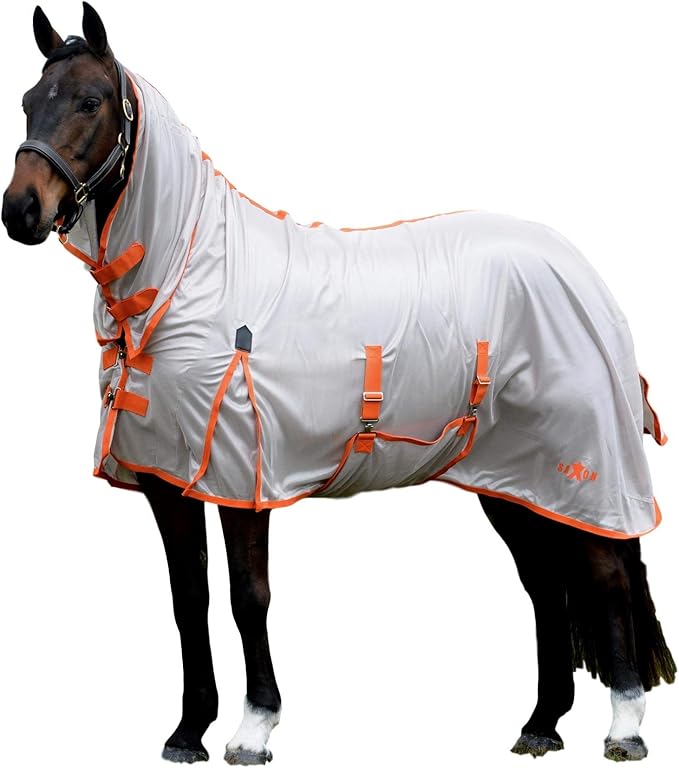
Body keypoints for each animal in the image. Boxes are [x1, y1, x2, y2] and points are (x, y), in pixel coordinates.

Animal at [2, 3, 675, 764]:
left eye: (89, 102)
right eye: (28, 101)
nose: (20, 210)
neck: (189, 272)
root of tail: (581, 272)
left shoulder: (243, 475)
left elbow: (248, 596)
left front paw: (253, 727)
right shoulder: (167, 479)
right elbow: (186, 598)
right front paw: (188, 730)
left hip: (584, 462)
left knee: (605, 576)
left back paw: (623, 727)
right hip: (514, 477)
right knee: (543, 584)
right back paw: (540, 723)